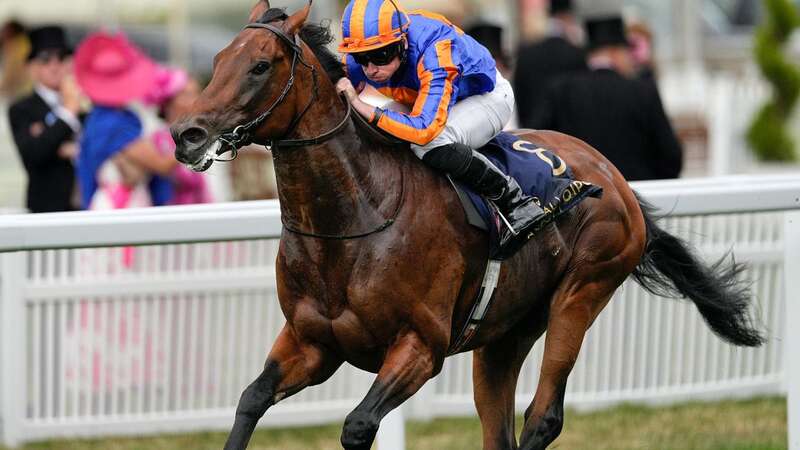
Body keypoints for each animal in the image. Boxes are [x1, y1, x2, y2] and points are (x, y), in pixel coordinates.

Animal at [172, 1, 764, 448]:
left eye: (260, 65)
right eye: (219, 59)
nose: (186, 134)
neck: (354, 220)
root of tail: (615, 179)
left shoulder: (420, 346)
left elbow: (358, 424)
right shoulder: (311, 342)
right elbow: (250, 399)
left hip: (583, 290)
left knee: (543, 416)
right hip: (505, 332)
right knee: (498, 426)